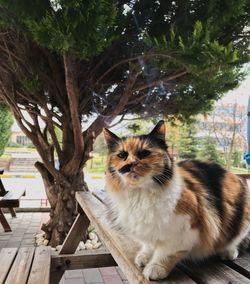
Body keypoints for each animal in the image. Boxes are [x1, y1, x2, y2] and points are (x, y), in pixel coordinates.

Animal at [103, 121, 250, 280]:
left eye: (144, 153)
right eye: (122, 155)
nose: (131, 164)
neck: (140, 195)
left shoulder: (186, 230)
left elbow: (166, 252)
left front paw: (155, 268)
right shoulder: (146, 229)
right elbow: (148, 244)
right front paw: (145, 257)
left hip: (241, 221)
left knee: (234, 240)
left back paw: (228, 252)